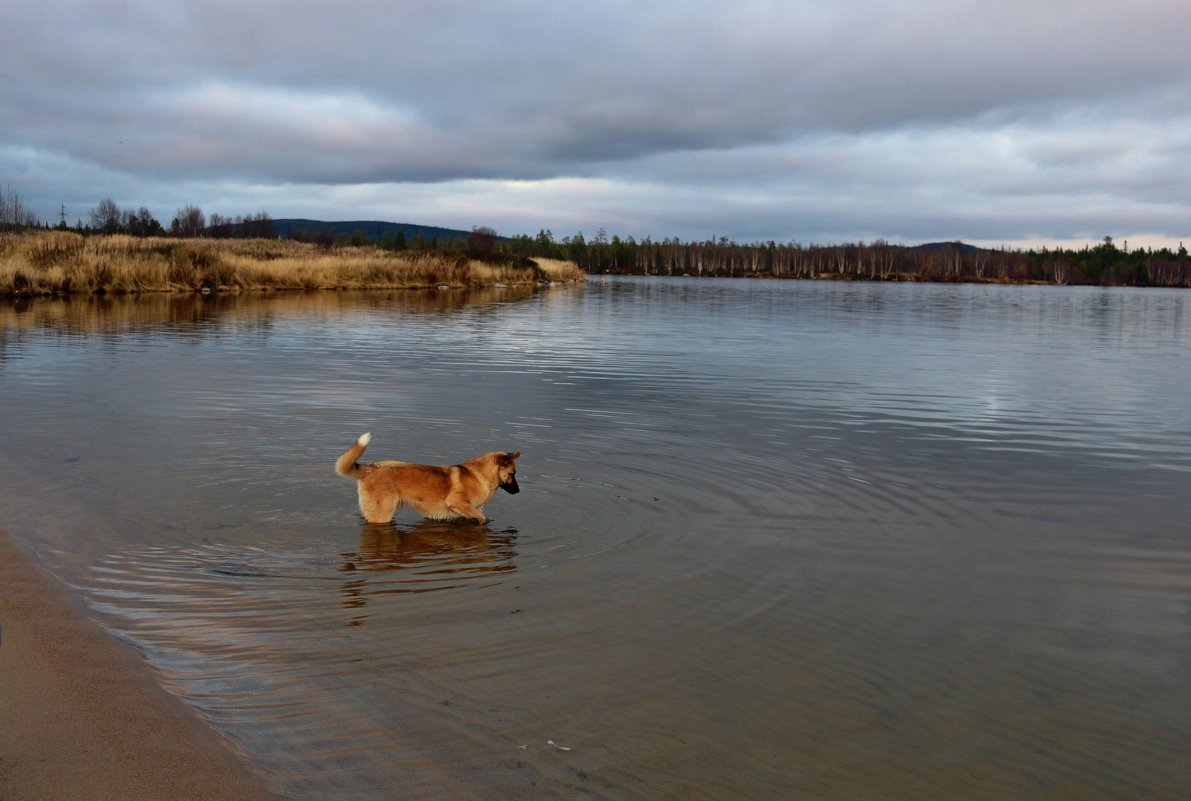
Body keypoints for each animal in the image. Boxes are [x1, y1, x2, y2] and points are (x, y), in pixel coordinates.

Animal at [335, 430, 521, 523]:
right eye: (512, 474)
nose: (518, 492)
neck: (480, 475)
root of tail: (369, 468)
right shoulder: (458, 504)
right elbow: (482, 518)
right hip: (382, 514)